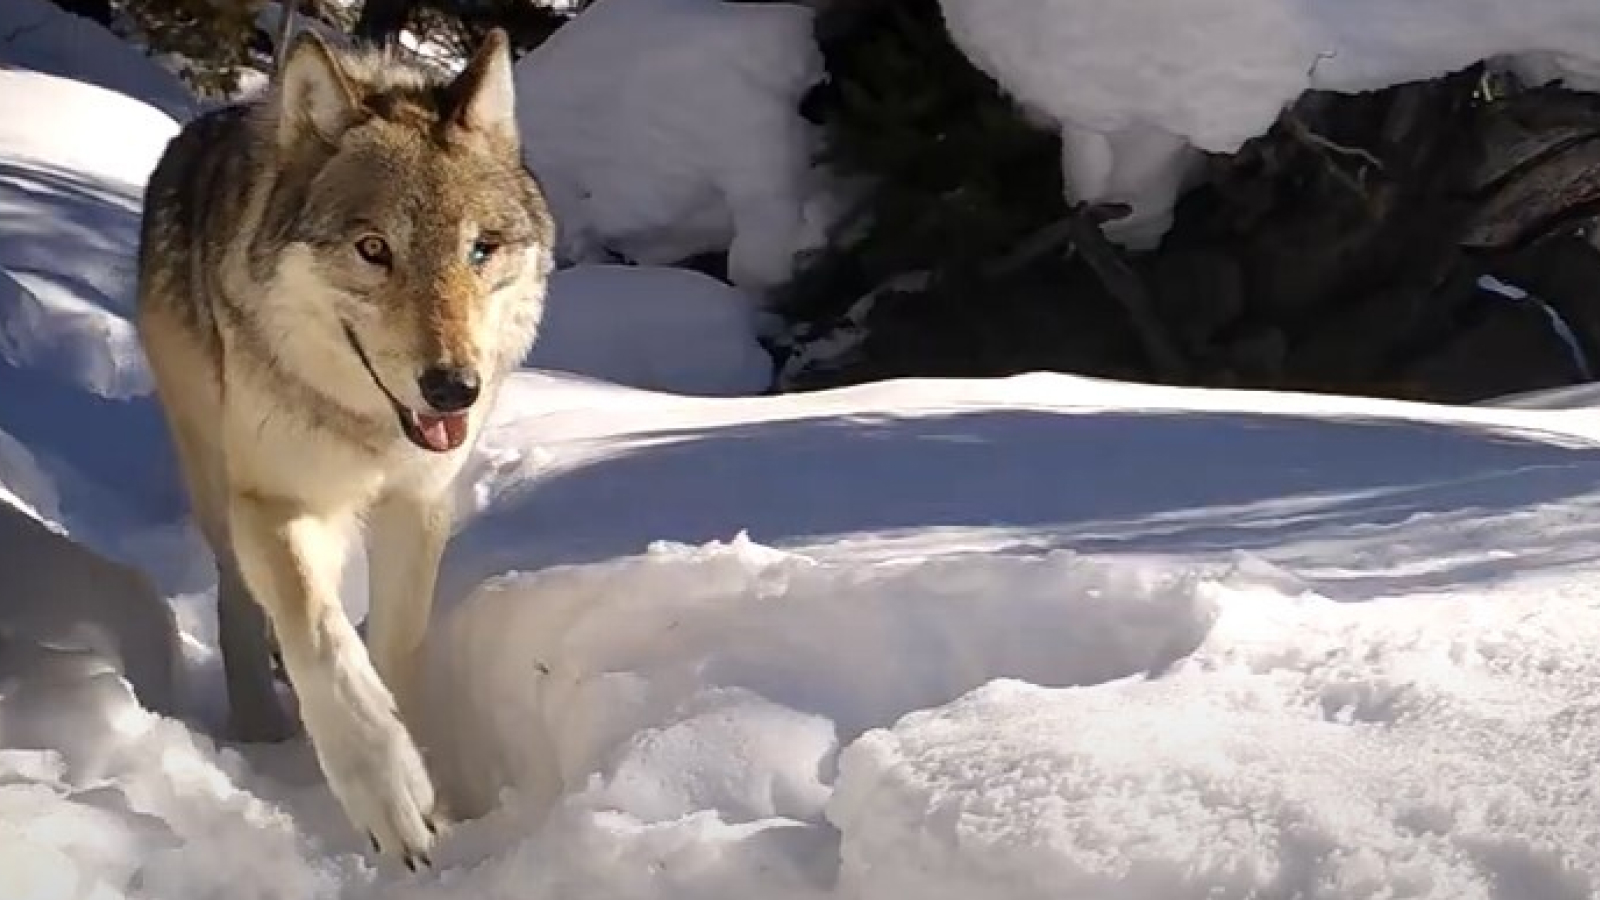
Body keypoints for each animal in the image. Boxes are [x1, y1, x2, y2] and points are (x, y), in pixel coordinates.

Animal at [132, 29, 556, 871]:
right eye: (373, 248)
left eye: (481, 250)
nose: (454, 389)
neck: (369, 429)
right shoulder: (276, 500)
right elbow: (324, 641)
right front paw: (389, 796)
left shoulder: (417, 505)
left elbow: (394, 648)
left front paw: (431, 793)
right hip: (215, 475)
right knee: (241, 594)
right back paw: (261, 720)